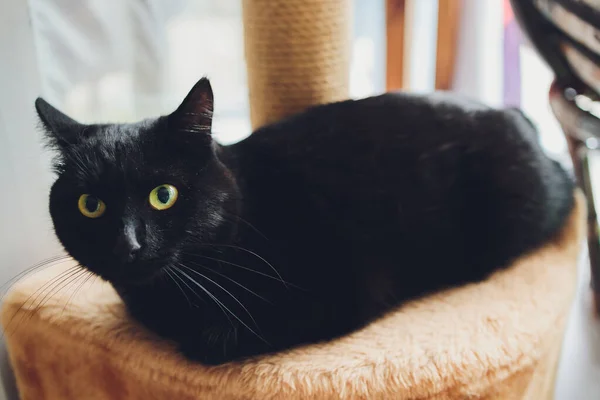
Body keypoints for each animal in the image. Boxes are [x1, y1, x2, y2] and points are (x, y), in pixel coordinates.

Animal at [36, 76, 572, 364]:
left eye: (162, 195)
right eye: (90, 205)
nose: (125, 245)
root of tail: (514, 114)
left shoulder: (344, 288)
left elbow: (209, 342)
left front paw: (200, 335)